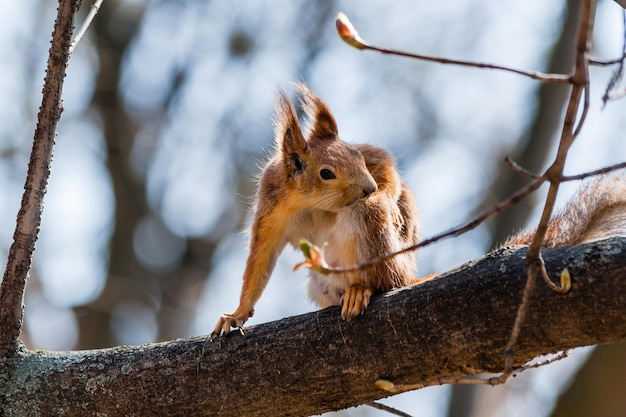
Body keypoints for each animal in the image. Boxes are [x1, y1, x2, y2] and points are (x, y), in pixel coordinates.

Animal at [210, 83, 624, 336]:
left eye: (356, 156)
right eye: (326, 172)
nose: (367, 188)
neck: (311, 202)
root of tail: (407, 275)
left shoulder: (372, 161)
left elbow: (387, 164)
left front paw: (391, 197)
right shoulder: (271, 208)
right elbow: (259, 262)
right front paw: (236, 313)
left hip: (376, 241)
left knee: (383, 277)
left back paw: (363, 288)